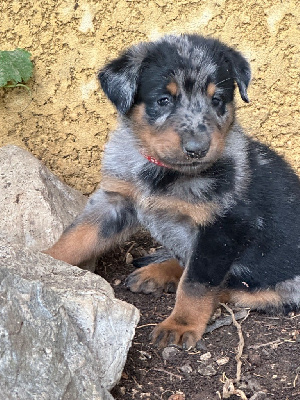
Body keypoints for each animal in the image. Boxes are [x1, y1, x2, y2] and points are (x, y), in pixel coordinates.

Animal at [44, 34, 300, 348]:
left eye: (217, 100)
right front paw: (43, 261)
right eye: (163, 100)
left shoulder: (221, 228)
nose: (197, 149)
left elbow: (197, 283)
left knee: (237, 289)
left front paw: (180, 324)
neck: (163, 172)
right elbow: (76, 236)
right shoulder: (115, 202)